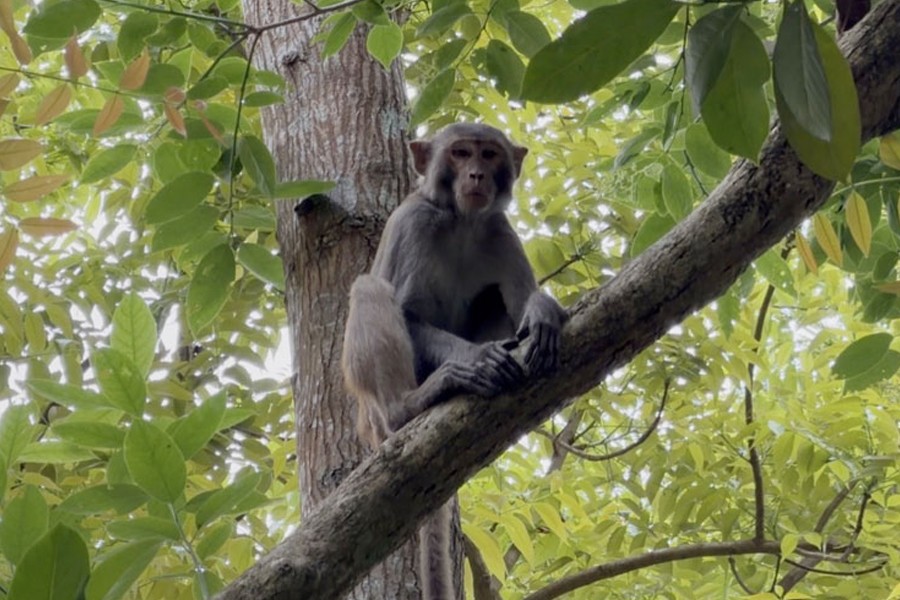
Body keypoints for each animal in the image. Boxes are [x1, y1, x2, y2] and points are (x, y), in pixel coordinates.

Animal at [341, 122, 567, 598]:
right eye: (461, 154)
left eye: (489, 154)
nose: (477, 175)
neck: (463, 222)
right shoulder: (415, 223)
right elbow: (409, 314)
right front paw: (478, 360)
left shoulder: (500, 231)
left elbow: (520, 303)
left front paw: (543, 308)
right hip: (374, 420)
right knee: (369, 287)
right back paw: (413, 402)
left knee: (495, 298)